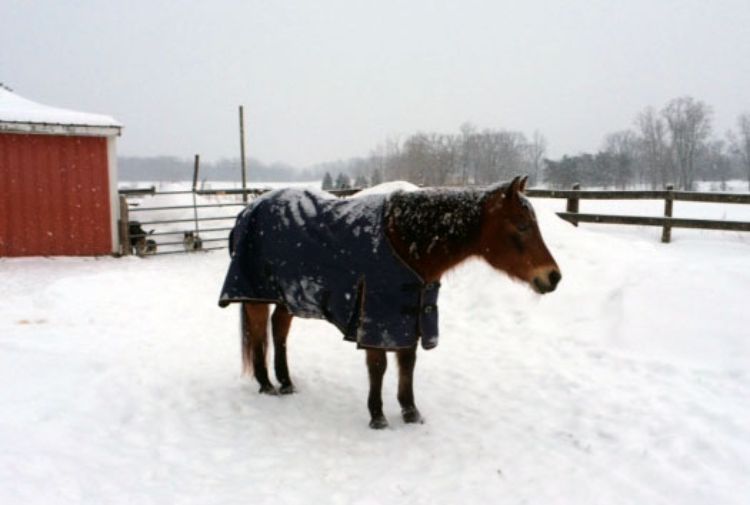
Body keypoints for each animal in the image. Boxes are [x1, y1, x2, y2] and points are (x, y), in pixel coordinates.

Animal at [218, 176, 561, 429]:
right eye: (521, 225)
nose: (553, 277)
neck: (407, 243)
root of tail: (249, 209)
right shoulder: (377, 318)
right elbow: (379, 366)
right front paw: (378, 415)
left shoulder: (409, 314)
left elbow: (407, 362)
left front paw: (410, 411)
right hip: (257, 294)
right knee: (259, 333)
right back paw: (266, 384)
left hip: (288, 296)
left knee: (279, 330)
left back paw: (286, 382)